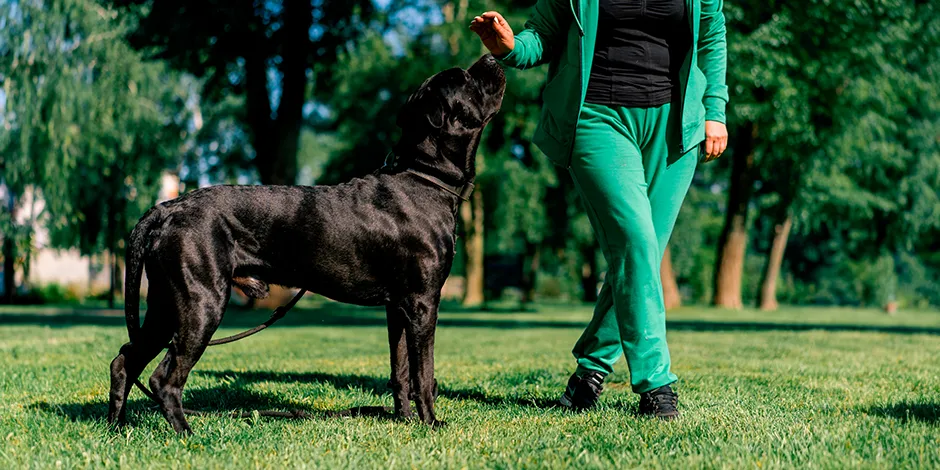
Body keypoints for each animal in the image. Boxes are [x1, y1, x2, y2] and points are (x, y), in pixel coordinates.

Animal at [106, 55, 506, 434]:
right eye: (463, 78)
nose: (490, 58)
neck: (424, 177)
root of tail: (168, 207)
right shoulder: (423, 303)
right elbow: (424, 373)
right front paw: (431, 423)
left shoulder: (398, 307)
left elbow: (400, 370)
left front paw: (405, 421)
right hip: (200, 305)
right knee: (164, 378)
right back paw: (187, 433)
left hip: (165, 307)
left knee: (124, 360)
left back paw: (117, 426)